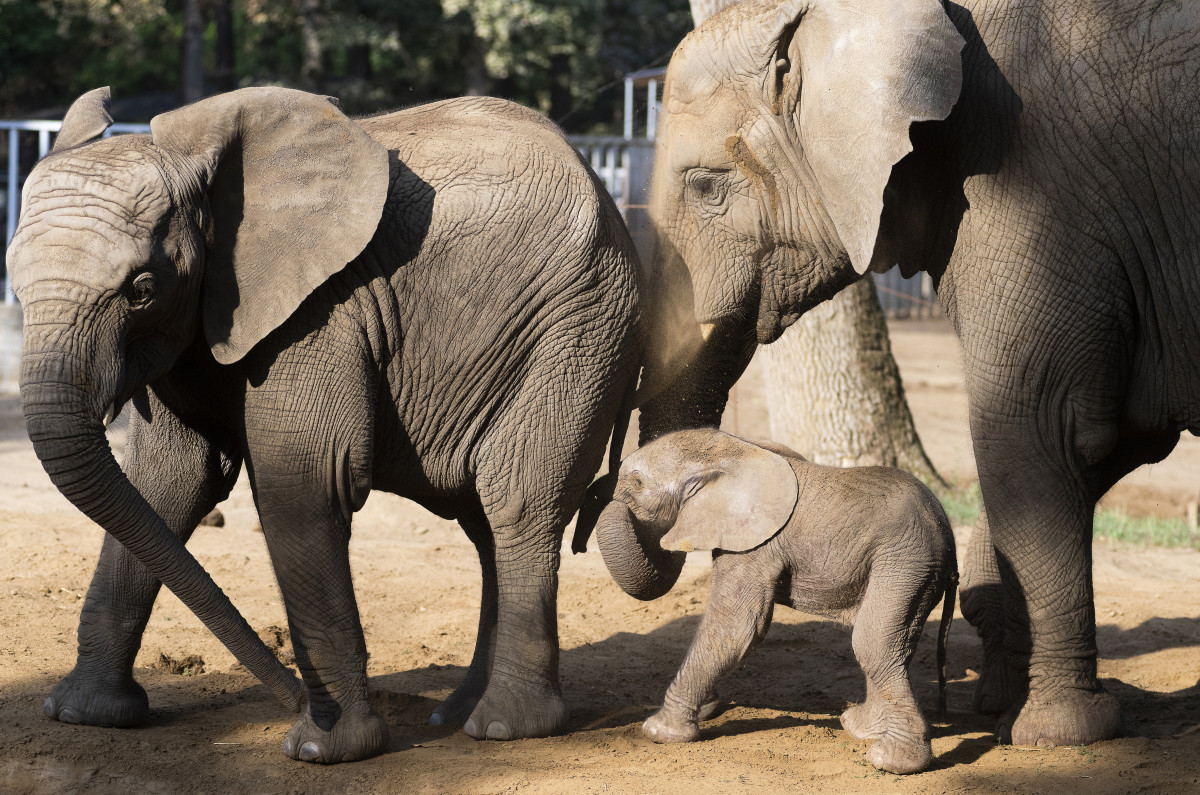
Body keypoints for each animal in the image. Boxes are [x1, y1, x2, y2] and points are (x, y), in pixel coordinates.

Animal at [9, 87, 681, 768]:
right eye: (12, 276)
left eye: (142, 289)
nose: (292, 697)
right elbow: (167, 483)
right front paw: (84, 715)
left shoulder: (319, 314)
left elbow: (303, 485)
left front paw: (325, 748)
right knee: (484, 524)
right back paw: (453, 715)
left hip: (580, 328)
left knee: (517, 500)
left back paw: (504, 728)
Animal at [588, 432, 955, 773]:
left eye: (637, 484)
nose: (598, 493)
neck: (729, 451)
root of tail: (949, 537)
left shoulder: (756, 544)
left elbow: (736, 629)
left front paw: (658, 732)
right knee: (892, 646)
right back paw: (859, 728)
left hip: (905, 562)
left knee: (873, 645)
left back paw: (889, 762)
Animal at [638, 0, 1200, 754]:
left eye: (705, 184)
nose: (725, 708)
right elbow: (1108, 444)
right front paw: (998, 701)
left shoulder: (1031, 204)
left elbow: (1042, 432)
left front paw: (1054, 732)